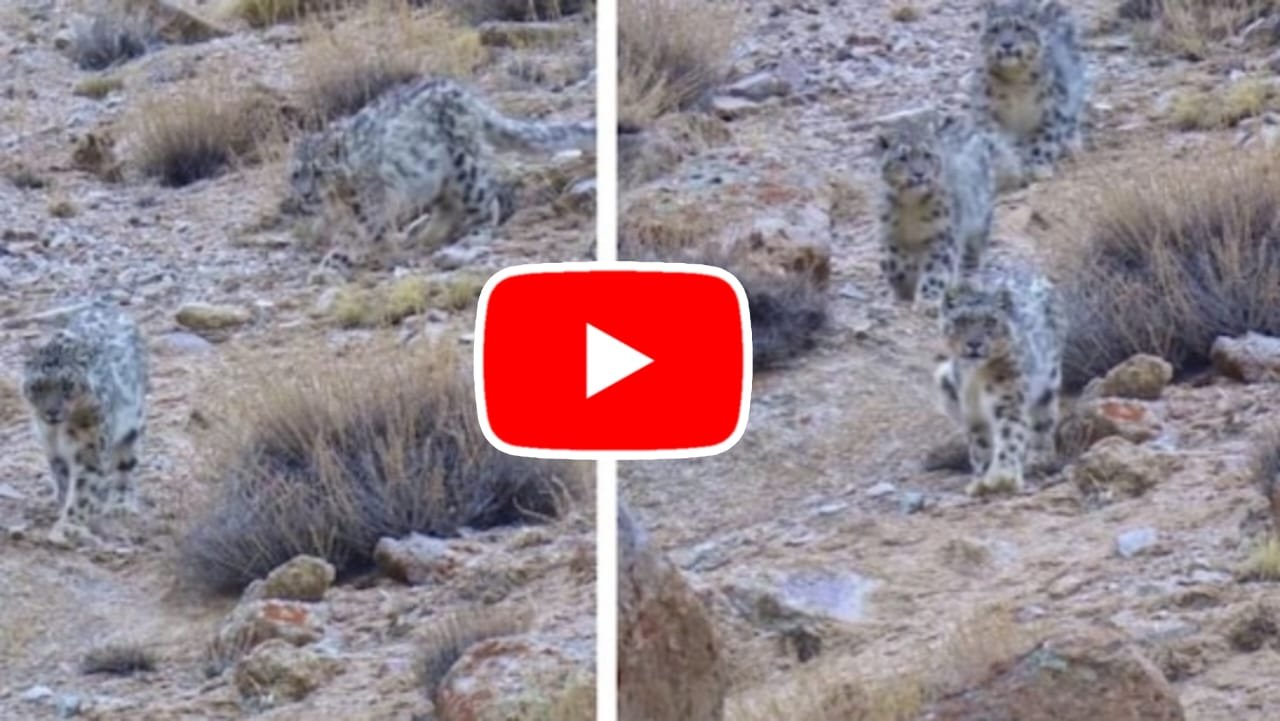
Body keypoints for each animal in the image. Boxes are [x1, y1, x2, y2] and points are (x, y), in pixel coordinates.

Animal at [21, 302, 148, 545]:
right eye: (38, 386)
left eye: (67, 385)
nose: (52, 412)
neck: (58, 431)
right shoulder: (54, 452)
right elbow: (64, 483)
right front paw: (64, 510)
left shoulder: (90, 448)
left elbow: (82, 490)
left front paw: (70, 527)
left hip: (132, 425)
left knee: (124, 466)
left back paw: (120, 504)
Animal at [282, 77, 596, 277]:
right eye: (296, 174)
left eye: (320, 172)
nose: (306, 194)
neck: (339, 202)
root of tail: (463, 94)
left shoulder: (368, 211)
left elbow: (356, 239)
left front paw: (329, 267)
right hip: (435, 178)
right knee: (448, 208)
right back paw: (424, 236)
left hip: (463, 167)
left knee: (487, 204)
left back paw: (467, 239)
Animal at [880, 110, 998, 313]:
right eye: (902, 157)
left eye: (928, 155)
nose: (919, 174)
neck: (911, 207)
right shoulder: (890, 233)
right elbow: (896, 262)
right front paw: (903, 289)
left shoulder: (941, 235)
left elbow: (935, 270)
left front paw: (927, 301)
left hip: (979, 218)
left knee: (972, 252)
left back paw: (967, 282)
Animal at [936, 262, 1064, 499]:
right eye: (960, 321)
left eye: (990, 321)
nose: (974, 343)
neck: (976, 377)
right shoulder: (972, 412)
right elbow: (980, 444)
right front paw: (981, 480)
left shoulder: (1009, 397)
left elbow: (1010, 434)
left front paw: (1003, 477)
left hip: (1048, 384)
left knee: (1042, 422)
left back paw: (1039, 457)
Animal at [972, 0, 1085, 183]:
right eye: (994, 29)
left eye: (1020, 28)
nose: (1006, 44)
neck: (1016, 83)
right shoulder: (988, 113)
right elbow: (998, 142)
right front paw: (1011, 165)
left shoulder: (1050, 111)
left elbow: (1043, 141)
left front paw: (1039, 168)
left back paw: (1072, 142)